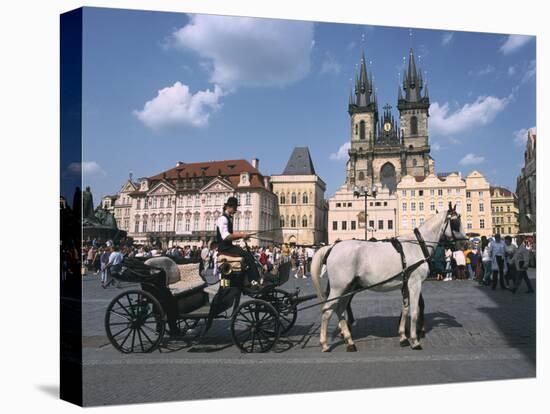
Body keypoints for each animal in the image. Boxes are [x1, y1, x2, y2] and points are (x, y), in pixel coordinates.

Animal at [312, 205, 468, 350]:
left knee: (339, 309)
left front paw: (403, 337)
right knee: (327, 310)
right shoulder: (415, 283)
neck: (418, 245)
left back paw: (349, 341)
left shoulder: (406, 285)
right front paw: (414, 340)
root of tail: (332, 247)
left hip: (348, 288)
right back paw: (325, 344)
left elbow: (405, 309)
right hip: (338, 288)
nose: (465, 243)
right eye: (455, 222)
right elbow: (414, 311)